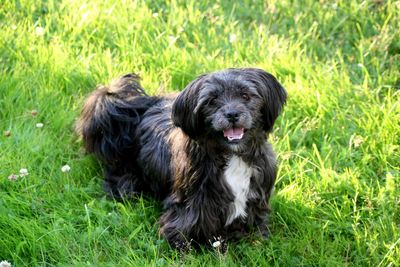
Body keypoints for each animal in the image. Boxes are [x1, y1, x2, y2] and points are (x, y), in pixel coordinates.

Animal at [76, 68, 288, 250]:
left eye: (245, 96)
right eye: (212, 100)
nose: (232, 114)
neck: (232, 154)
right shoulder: (191, 207)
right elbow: (180, 237)